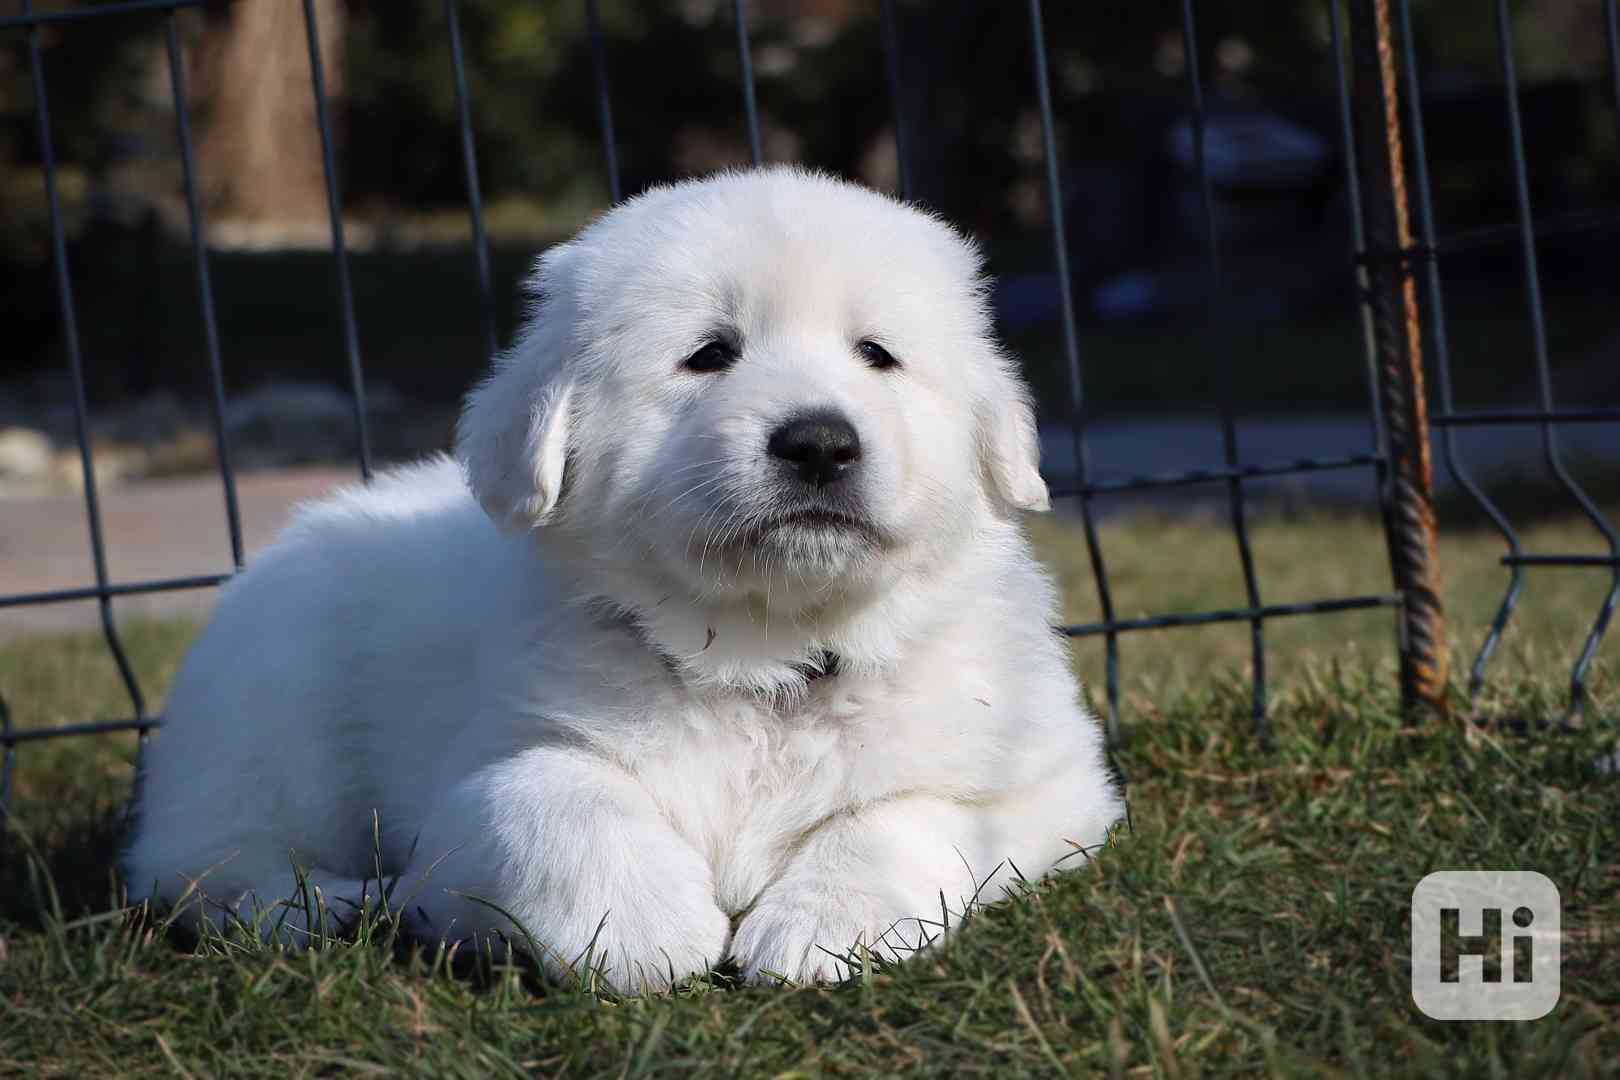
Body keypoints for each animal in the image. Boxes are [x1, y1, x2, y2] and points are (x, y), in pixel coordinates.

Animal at [123, 166, 1127, 990]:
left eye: (877, 355)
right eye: (710, 354)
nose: (819, 442)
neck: (765, 656)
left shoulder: (1051, 783)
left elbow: (910, 813)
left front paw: (823, 927)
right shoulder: (472, 782)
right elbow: (546, 794)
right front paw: (642, 927)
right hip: (269, 718)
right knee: (200, 860)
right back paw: (322, 906)